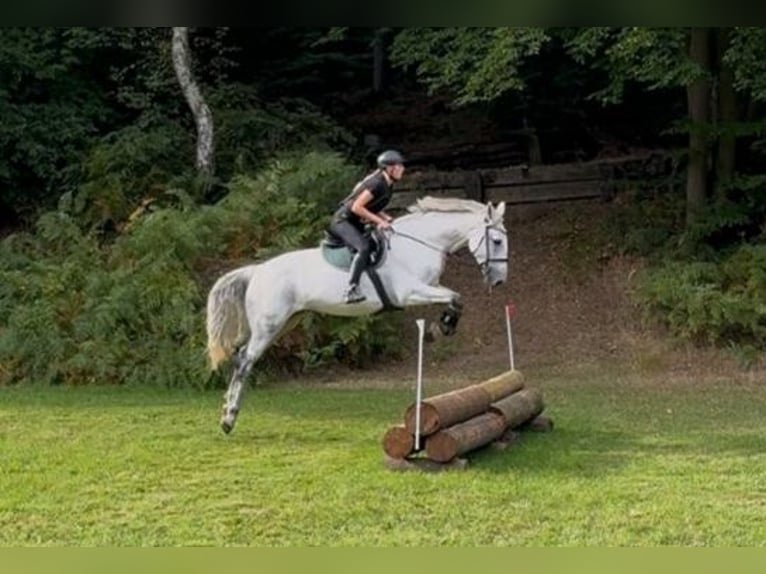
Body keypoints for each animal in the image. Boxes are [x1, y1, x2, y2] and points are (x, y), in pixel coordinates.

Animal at [206, 196, 510, 434]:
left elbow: (455, 298)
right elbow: (455, 297)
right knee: (244, 361)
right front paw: (441, 328)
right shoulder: (409, 292)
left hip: (284, 323)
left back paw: (227, 411)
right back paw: (228, 418)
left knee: (240, 354)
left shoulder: (430, 286)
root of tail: (257, 271)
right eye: (496, 241)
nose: (499, 282)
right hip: (268, 326)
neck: (419, 244)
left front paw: (442, 326)